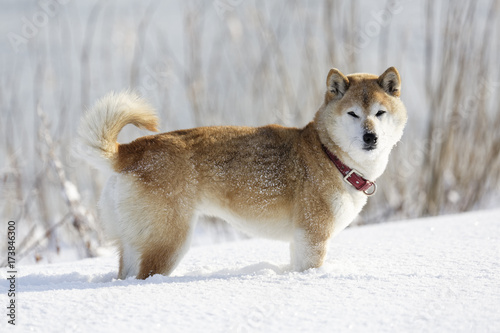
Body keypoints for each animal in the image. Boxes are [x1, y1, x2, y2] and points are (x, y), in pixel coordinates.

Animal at [77, 67, 406, 278]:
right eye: (353, 113)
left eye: (380, 113)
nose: (370, 137)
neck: (331, 156)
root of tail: (130, 150)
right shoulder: (314, 238)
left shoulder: (299, 241)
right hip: (169, 243)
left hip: (136, 243)